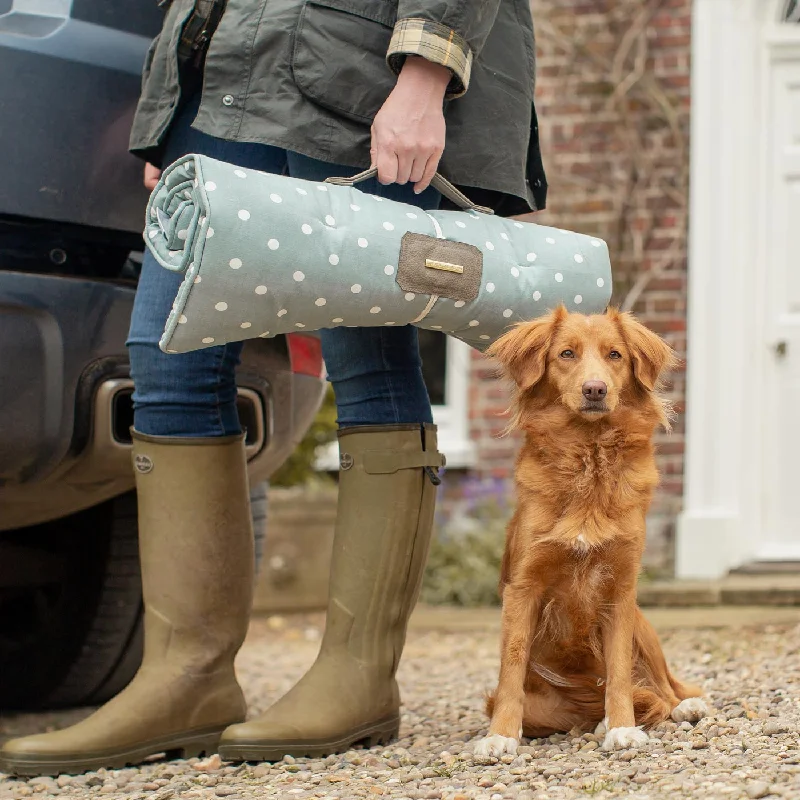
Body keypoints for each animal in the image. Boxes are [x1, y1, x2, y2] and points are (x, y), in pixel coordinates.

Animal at [476, 306, 708, 756]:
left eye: (615, 354)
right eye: (566, 353)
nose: (595, 390)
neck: (589, 453)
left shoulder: (620, 589)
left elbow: (618, 671)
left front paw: (621, 727)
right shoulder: (524, 587)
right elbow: (511, 667)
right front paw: (500, 736)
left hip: (643, 627)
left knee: (664, 686)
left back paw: (680, 706)